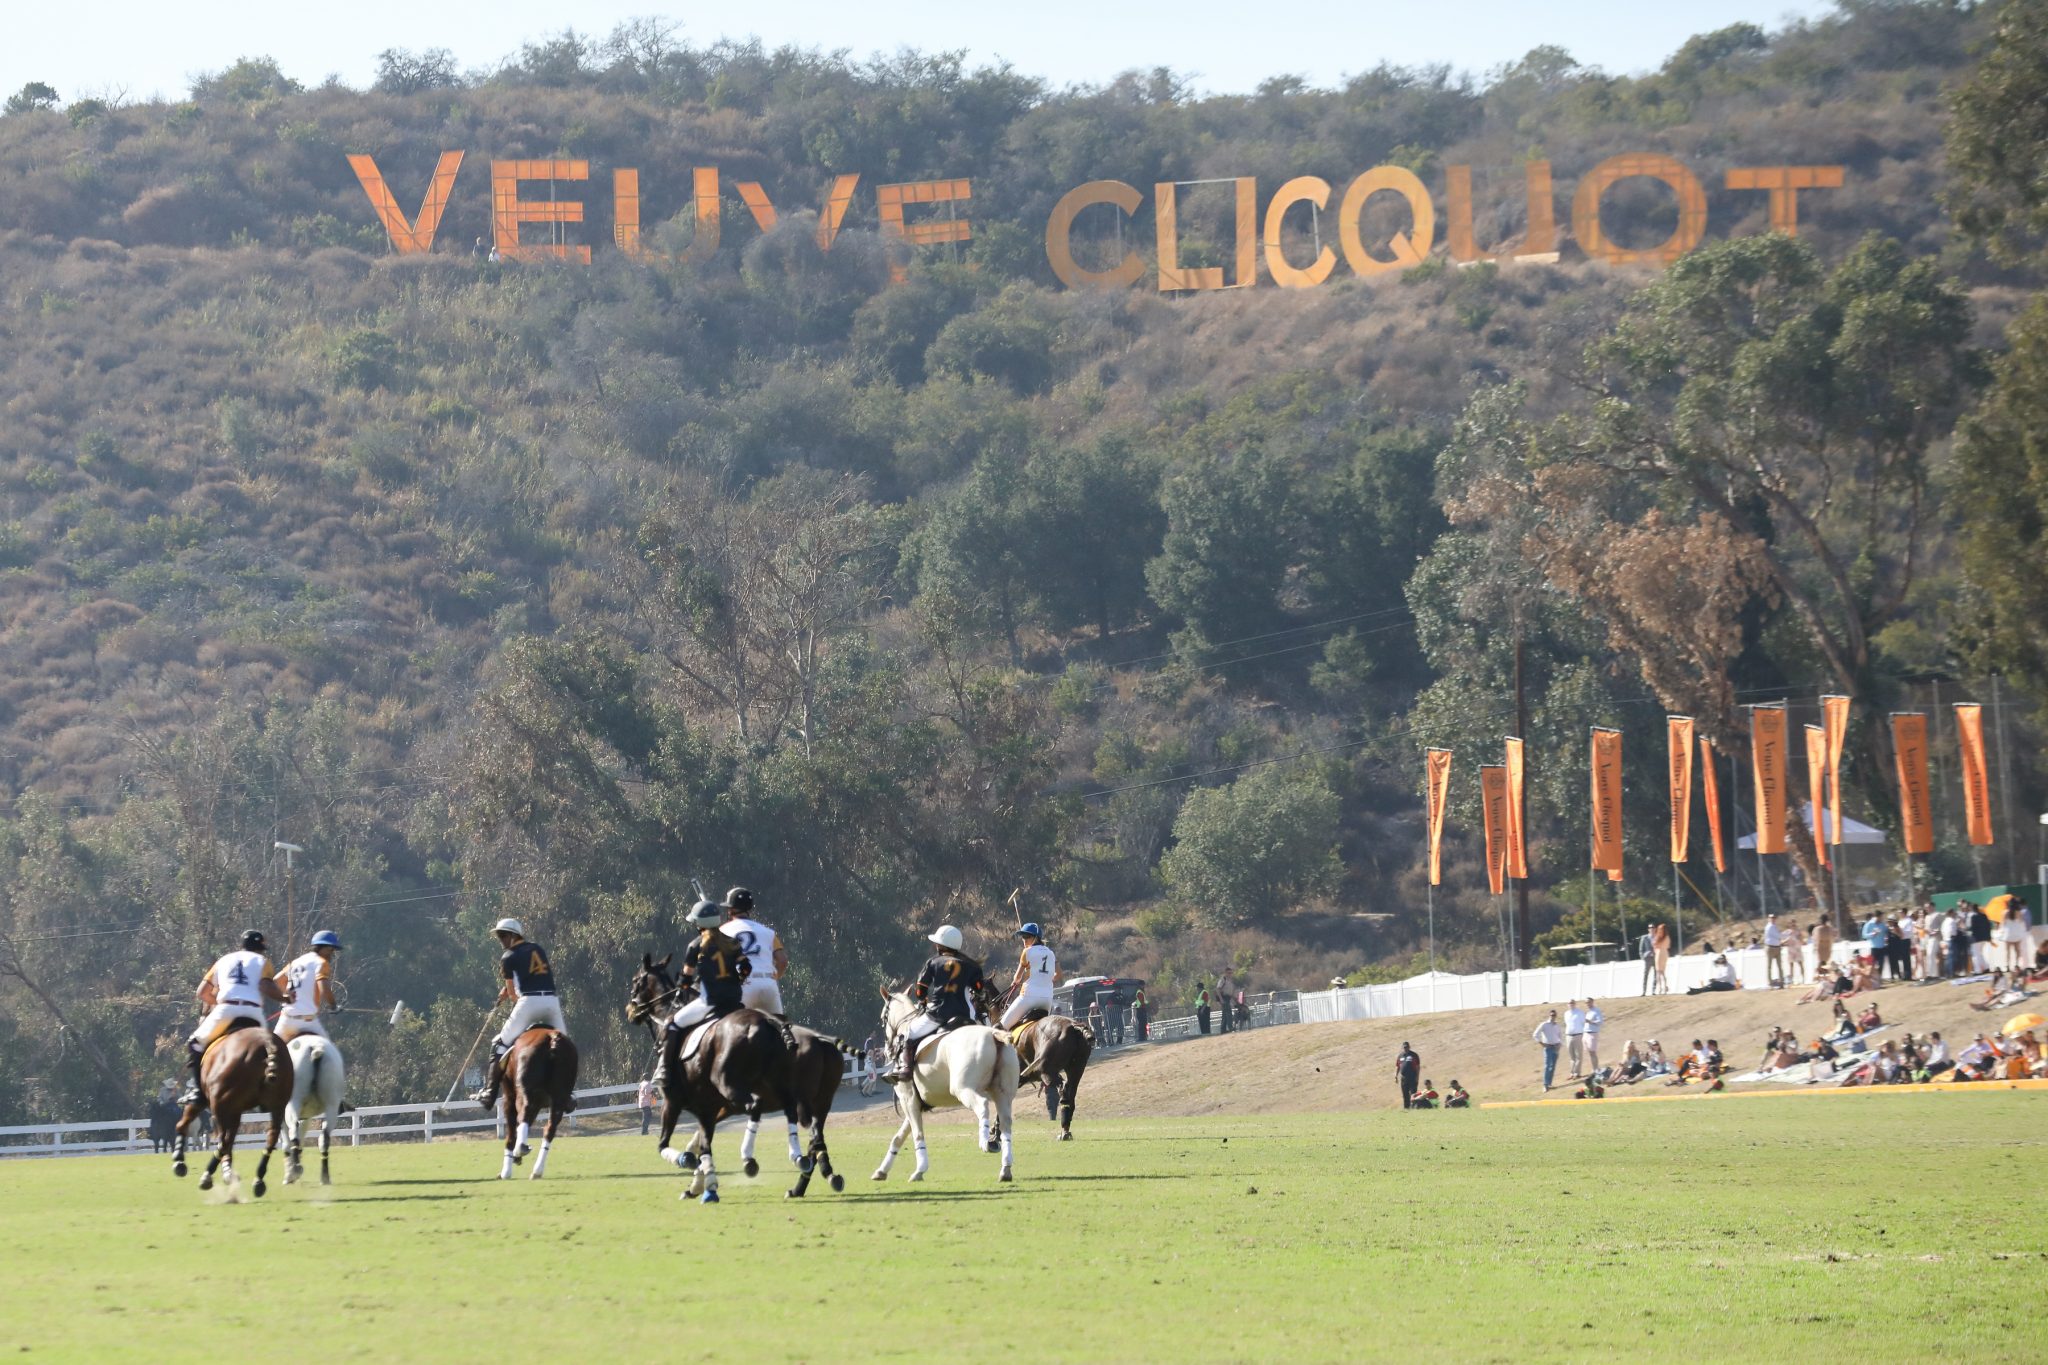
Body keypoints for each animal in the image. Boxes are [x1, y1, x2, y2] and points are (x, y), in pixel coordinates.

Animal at [169, 1019, 292, 1203]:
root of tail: (266, 1043)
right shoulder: (235, 1110)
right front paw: (228, 1171)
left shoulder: (214, 1103)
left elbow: (184, 1123)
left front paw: (179, 1160)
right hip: (276, 1105)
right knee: (271, 1138)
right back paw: (258, 1180)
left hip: (220, 1104)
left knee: (223, 1140)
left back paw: (207, 1176)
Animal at [280, 1035, 344, 1186]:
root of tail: (316, 1049)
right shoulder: (307, 1116)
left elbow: (287, 1143)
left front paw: (289, 1174)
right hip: (331, 1105)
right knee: (324, 1138)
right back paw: (325, 1177)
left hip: (294, 1101)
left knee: (293, 1131)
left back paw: (296, 1170)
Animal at [483, 1031, 573, 1178]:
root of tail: (552, 1037)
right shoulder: (538, 1103)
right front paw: (515, 1158)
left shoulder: (509, 1097)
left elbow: (512, 1131)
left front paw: (506, 1170)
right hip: (558, 1098)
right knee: (549, 1129)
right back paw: (537, 1170)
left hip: (523, 1092)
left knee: (523, 1115)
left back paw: (520, 1151)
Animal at [618, 957, 811, 1203]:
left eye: (636, 981)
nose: (630, 1010)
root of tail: (768, 1022)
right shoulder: (708, 1109)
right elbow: (705, 1144)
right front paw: (706, 1186)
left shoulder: (672, 1102)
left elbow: (663, 1146)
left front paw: (688, 1162)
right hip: (775, 1087)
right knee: (789, 1109)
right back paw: (797, 1157)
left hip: (731, 1086)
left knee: (755, 1105)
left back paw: (748, 1158)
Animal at [868, 994, 1019, 1186]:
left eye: (883, 1018)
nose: (887, 1050)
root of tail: (993, 1034)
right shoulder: (917, 1104)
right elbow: (899, 1137)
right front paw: (881, 1171)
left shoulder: (908, 1099)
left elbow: (917, 1134)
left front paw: (919, 1170)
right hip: (1003, 1095)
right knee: (1006, 1124)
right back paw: (1005, 1169)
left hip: (963, 1089)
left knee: (983, 1106)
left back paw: (985, 1142)